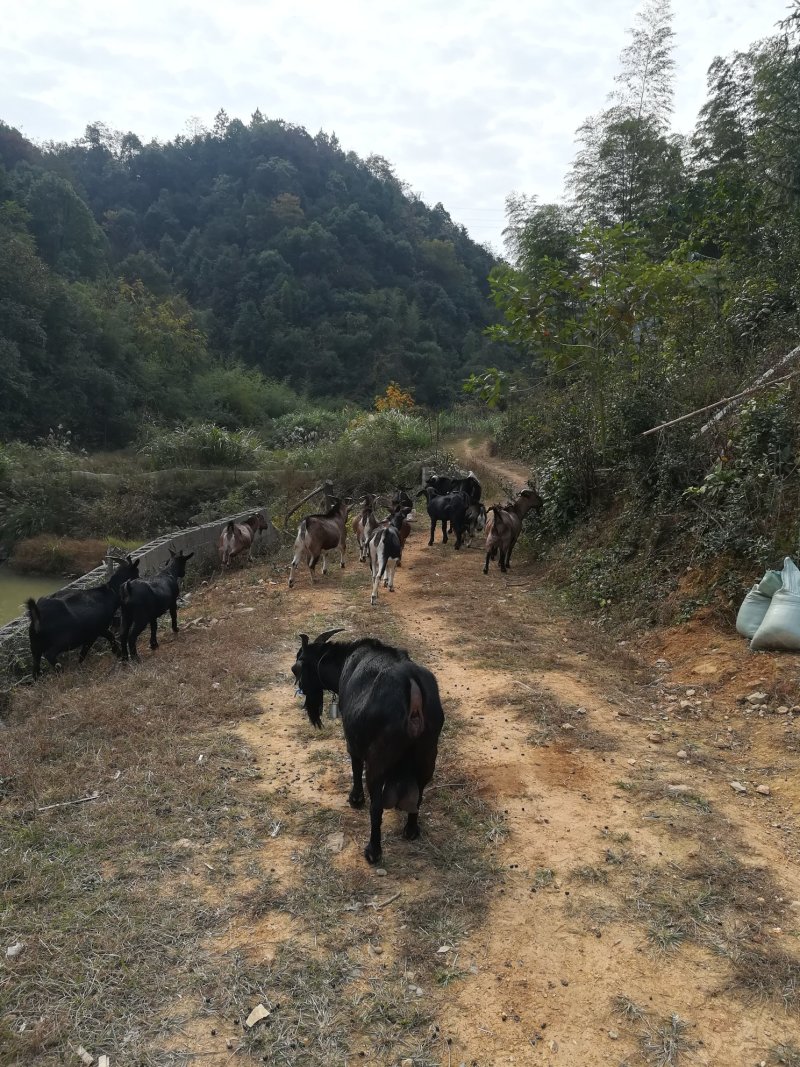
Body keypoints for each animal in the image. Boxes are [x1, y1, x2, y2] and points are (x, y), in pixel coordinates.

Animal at [292, 627, 448, 862]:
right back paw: (411, 830)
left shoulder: (353, 741)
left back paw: (373, 851)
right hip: (427, 756)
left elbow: (355, 767)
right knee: (419, 795)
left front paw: (355, 799)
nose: (301, 690)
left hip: (378, 762)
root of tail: (411, 685)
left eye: (296, 668)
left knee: (376, 808)